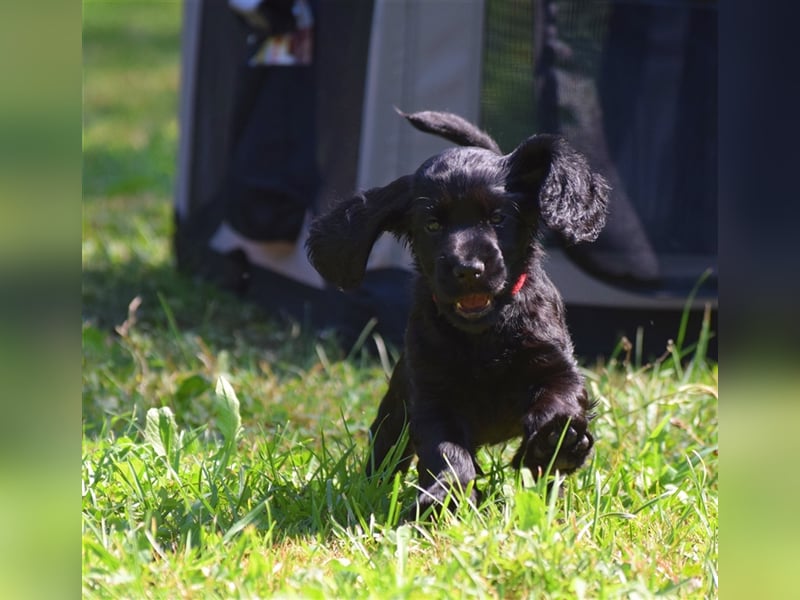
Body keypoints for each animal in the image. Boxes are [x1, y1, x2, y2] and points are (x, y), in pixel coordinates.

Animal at [306, 110, 608, 512]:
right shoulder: (432, 395)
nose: (468, 269)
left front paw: (555, 445)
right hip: (395, 411)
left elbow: (559, 402)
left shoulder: (556, 366)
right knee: (387, 448)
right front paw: (442, 498)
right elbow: (448, 454)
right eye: (433, 225)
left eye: (498, 219)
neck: (485, 335)